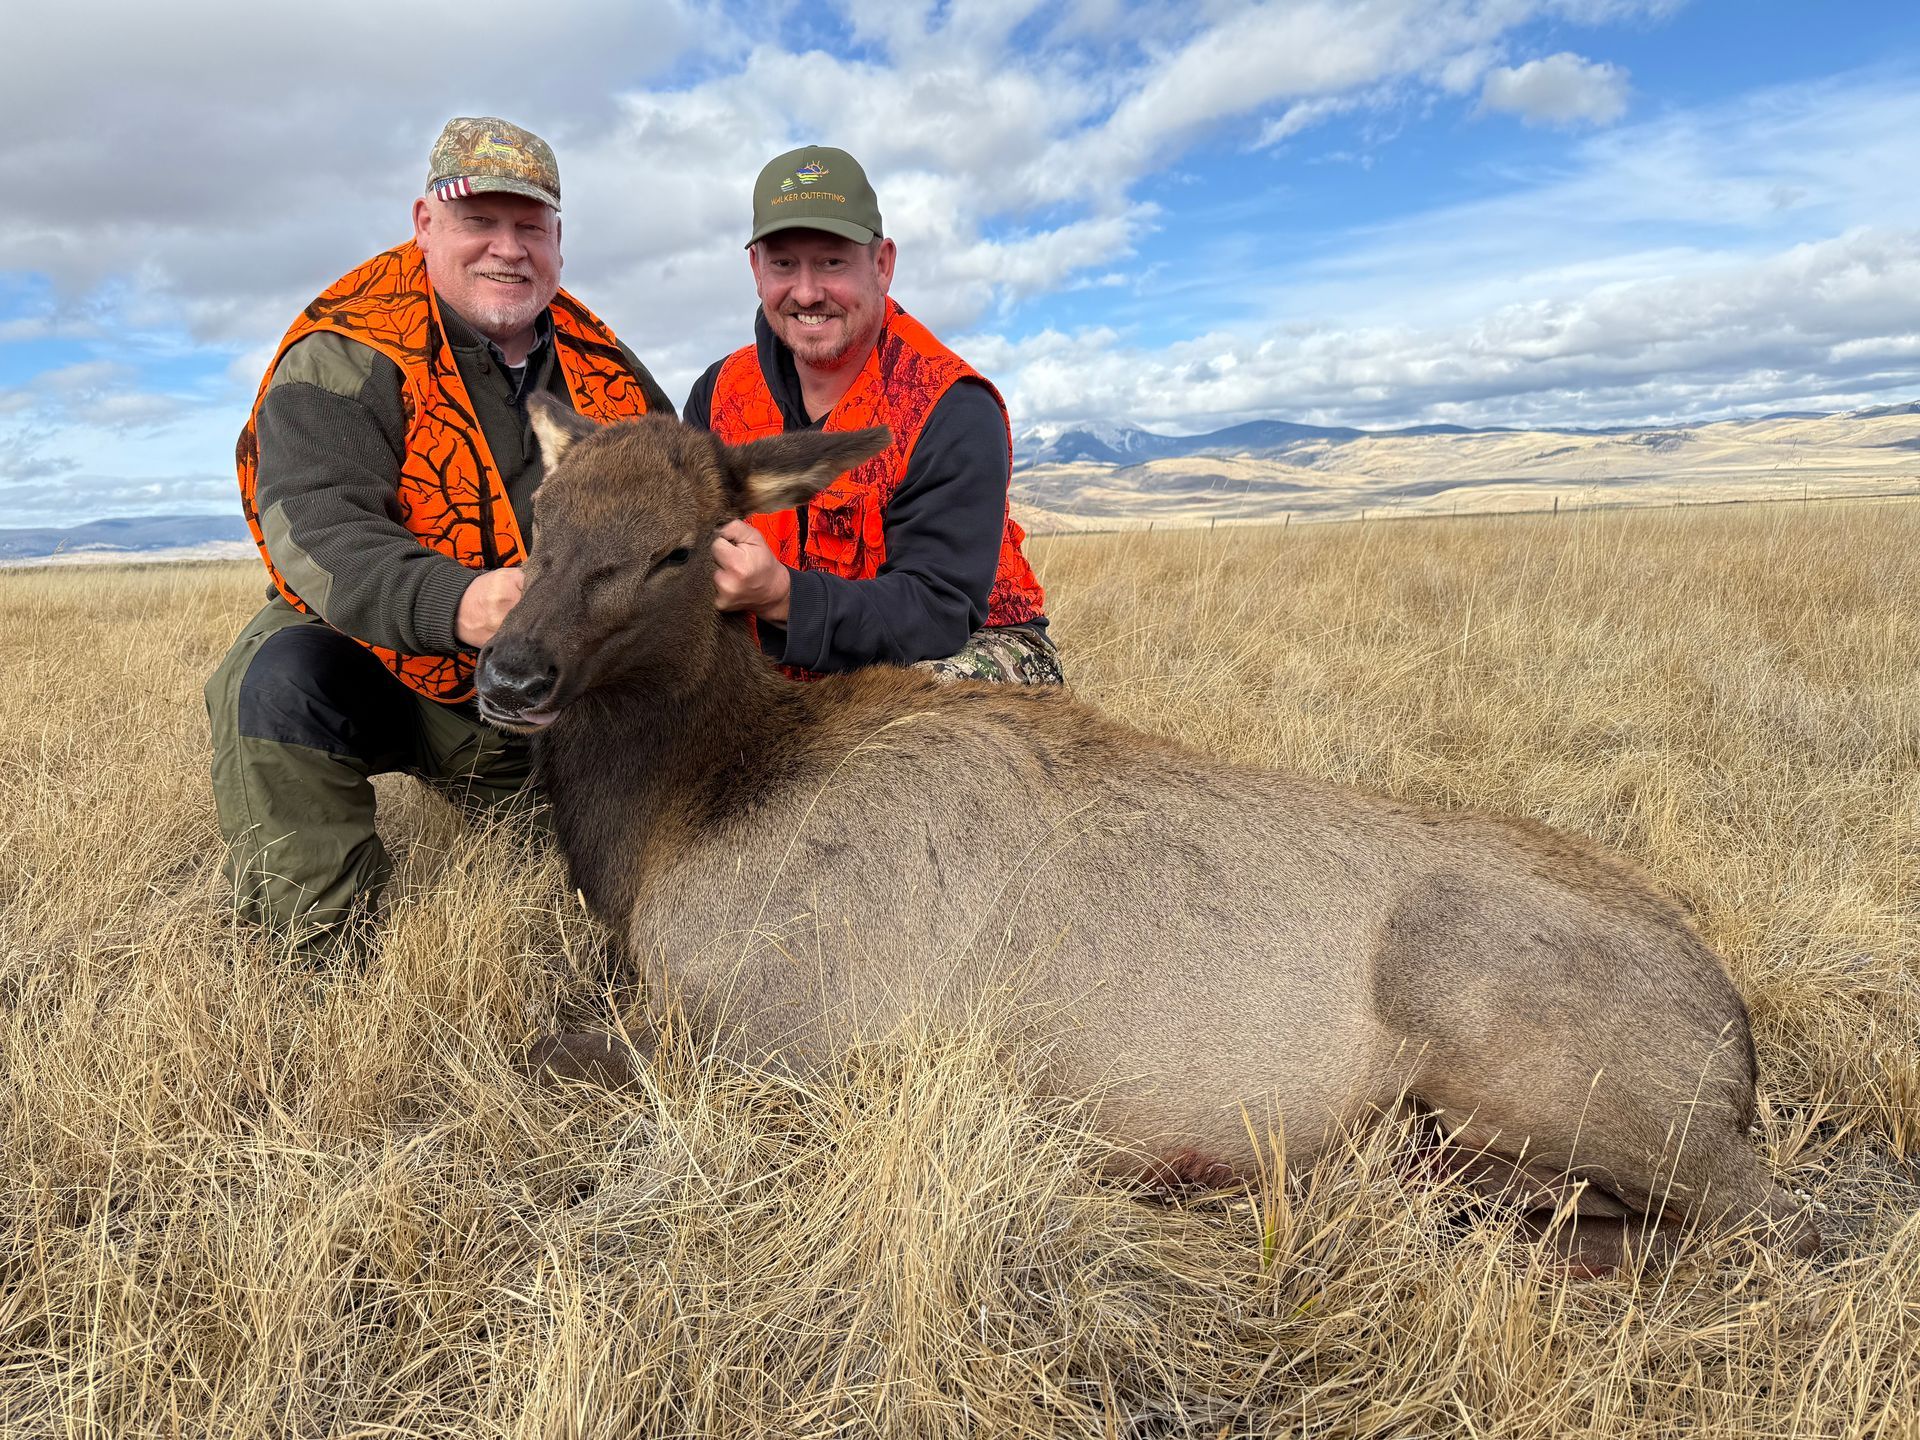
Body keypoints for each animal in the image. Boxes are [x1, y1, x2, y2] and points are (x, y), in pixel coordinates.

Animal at [474, 399, 1816, 1266]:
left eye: (679, 547)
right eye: (542, 517)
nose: (511, 670)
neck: (676, 821)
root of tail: (1735, 1045)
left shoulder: (781, 1036)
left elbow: (545, 1050)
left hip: (1556, 1065)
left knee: (1755, 1218)